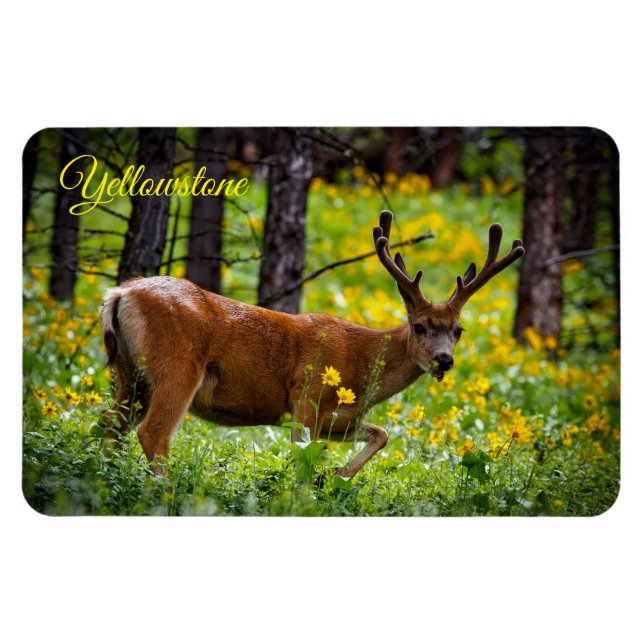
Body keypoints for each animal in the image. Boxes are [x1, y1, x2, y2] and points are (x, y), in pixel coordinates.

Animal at [99, 210, 524, 479]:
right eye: (419, 326)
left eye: (458, 330)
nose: (443, 360)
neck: (362, 365)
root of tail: (119, 293)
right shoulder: (306, 397)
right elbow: (302, 462)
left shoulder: (339, 419)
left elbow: (382, 434)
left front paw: (338, 473)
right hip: (178, 366)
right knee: (153, 433)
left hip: (129, 373)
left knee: (110, 425)